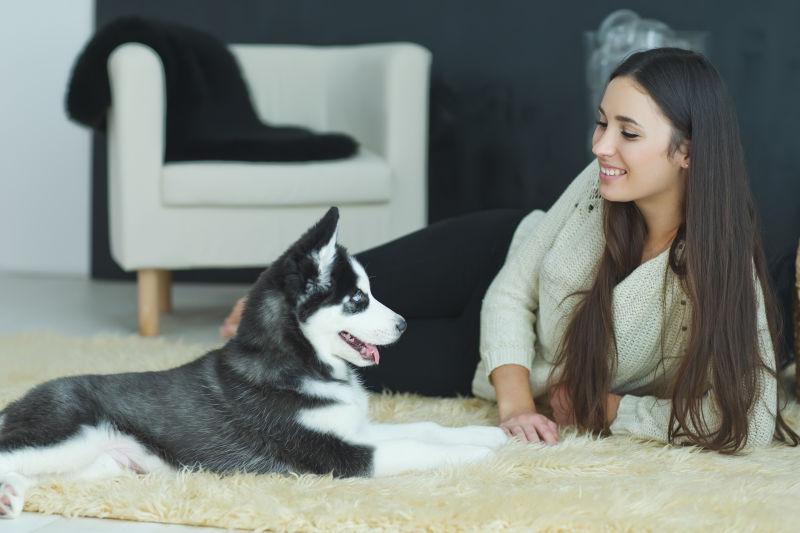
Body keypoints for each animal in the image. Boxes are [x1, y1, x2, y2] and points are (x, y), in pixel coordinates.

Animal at [0, 207, 506, 516]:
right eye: (358, 300)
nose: (402, 325)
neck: (300, 364)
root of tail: (21, 401)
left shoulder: (354, 429)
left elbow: (427, 428)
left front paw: (490, 435)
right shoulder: (340, 455)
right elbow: (418, 447)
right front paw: (476, 455)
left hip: (98, 463)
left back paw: (11, 496)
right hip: (66, 433)